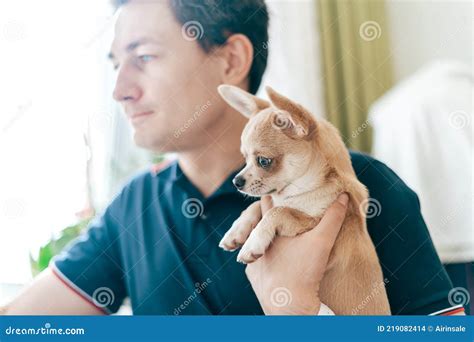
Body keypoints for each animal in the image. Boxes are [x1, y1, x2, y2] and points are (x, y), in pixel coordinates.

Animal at [217, 84, 390, 314]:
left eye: (263, 161)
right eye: (244, 159)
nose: (236, 181)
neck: (299, 192)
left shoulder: (312, 224)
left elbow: (277, 211)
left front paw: (253, 242)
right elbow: (256, 205)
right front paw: (235, 231)